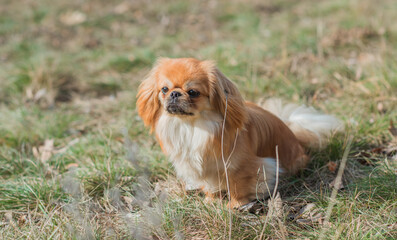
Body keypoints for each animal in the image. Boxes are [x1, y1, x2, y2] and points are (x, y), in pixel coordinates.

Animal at [135, 57, 340, 207]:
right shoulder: (208, 168)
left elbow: (238, 187)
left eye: (193, 92)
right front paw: (211, 201)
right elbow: (210, 186)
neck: (193, 126)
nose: (175, 93)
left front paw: (234, 207)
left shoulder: (243, 166)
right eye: (164, 89)